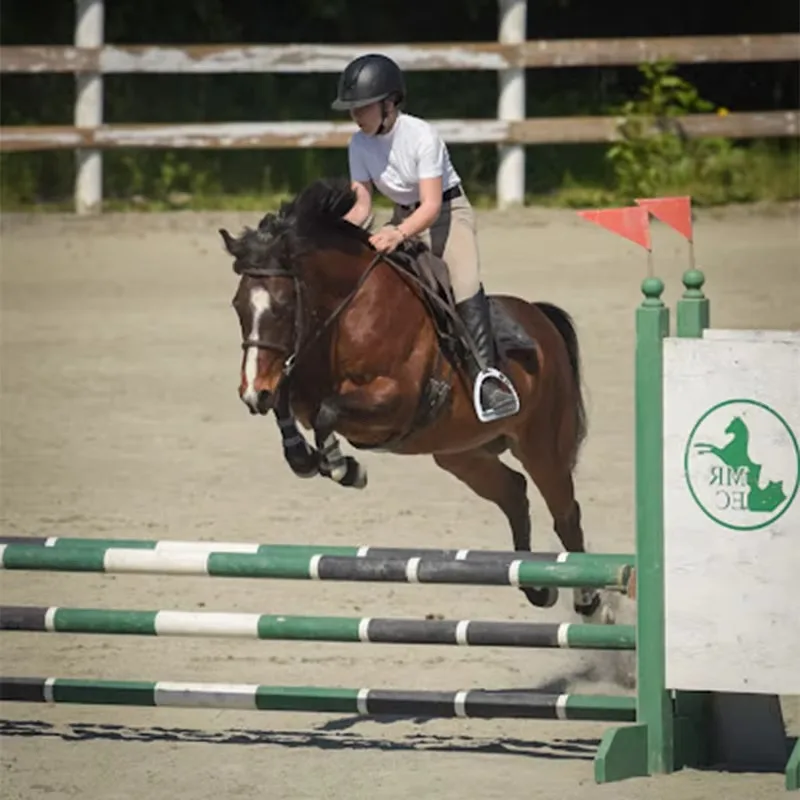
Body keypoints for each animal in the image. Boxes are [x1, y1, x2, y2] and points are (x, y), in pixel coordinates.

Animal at [219, 178, 607, 620]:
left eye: (283, 306)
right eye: (237, 305)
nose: (253, 392)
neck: (347, 310)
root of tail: (541, 320)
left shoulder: (395, 400)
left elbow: (327, 413)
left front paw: (345, 468)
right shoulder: (300, 390)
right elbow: (294, 413)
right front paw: (317, 460)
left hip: (541, 445)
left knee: (565, 513)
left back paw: (588, 600)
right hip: (460, 452)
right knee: (514, 492)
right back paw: (536, 586)